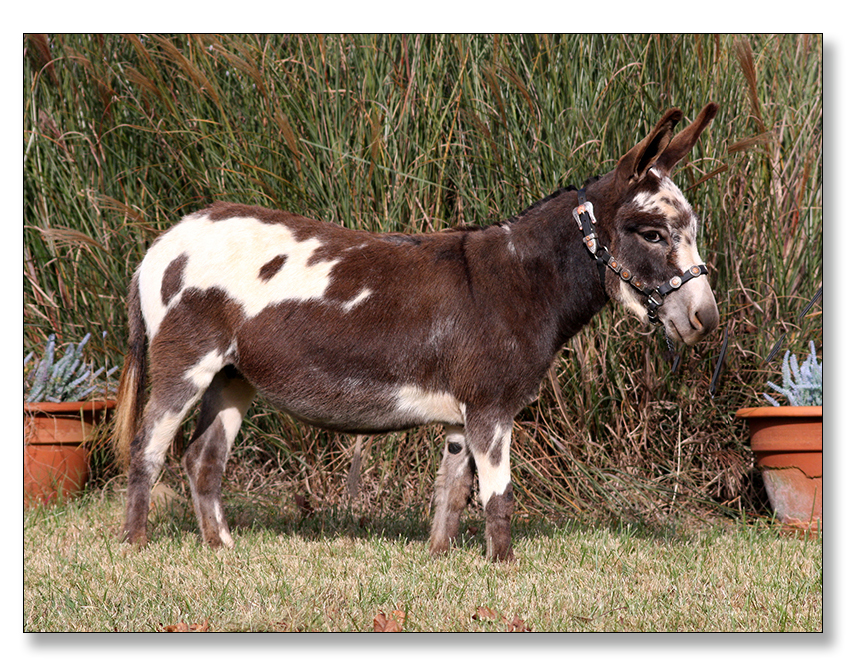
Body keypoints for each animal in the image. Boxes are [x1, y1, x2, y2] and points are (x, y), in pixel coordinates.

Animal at [115, 103, 720, 561]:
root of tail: (164, 240)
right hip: (185, 365)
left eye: (692, 229)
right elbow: (498, 497)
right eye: (652, 233)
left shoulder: (461, 415)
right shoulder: (491, 408)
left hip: (234, 374)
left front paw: (440, 559)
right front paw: (504, 569)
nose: (707, 321)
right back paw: (136, 546)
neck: (522, 281)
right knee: (148, 448)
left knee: (203, 458)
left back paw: (220, 546)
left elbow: (451, 492)